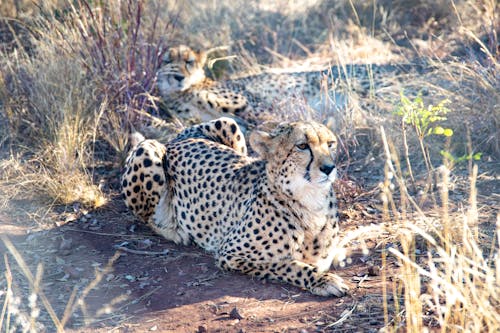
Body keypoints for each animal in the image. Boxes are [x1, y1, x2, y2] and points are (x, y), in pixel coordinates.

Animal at [121, 116, 350, 296]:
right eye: (302, 146)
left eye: (330, 144)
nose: (329, 168)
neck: (310, 201)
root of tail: (176, 140)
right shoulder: (231, 253)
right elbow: (289, 265)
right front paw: (324, 280)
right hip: (148, 151)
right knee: (146, 217)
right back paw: (176, 231)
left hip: (227, 122)